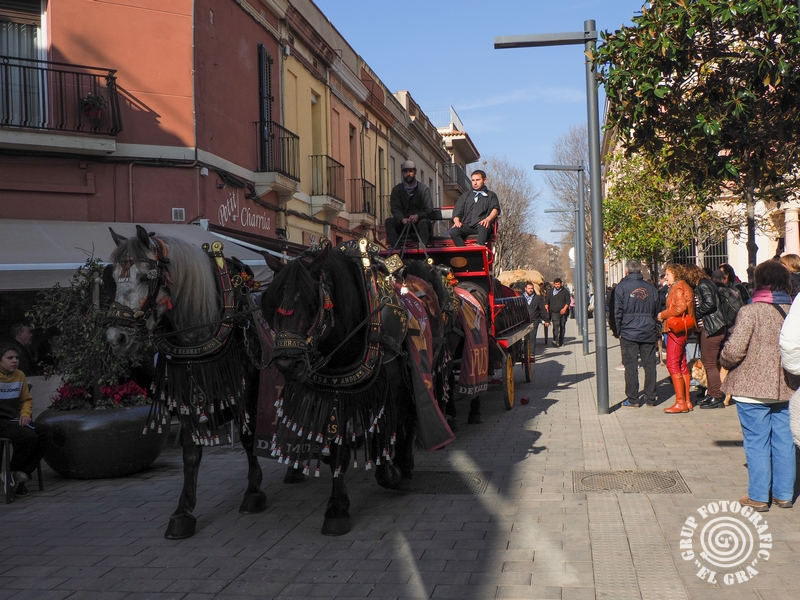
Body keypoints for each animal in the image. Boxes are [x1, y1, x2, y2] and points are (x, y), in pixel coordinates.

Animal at [104, 225, 268, 539]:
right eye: (114, 278)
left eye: (146, 277)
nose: (116, 338)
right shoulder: (187, 394)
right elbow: (191, 453)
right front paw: (183, 512)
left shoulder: (248, 390)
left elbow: (248, 438)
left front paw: (254, 491)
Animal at [260, 240, 455, 535]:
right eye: (272, 302)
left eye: (312, 301)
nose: (286, 361)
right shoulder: (336, 394)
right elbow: (337, 449)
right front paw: (337, 507)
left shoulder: (389, 391)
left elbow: (388, 432)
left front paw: (392, 472)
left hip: (419, 372)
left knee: (411, 417)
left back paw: (405, 465)